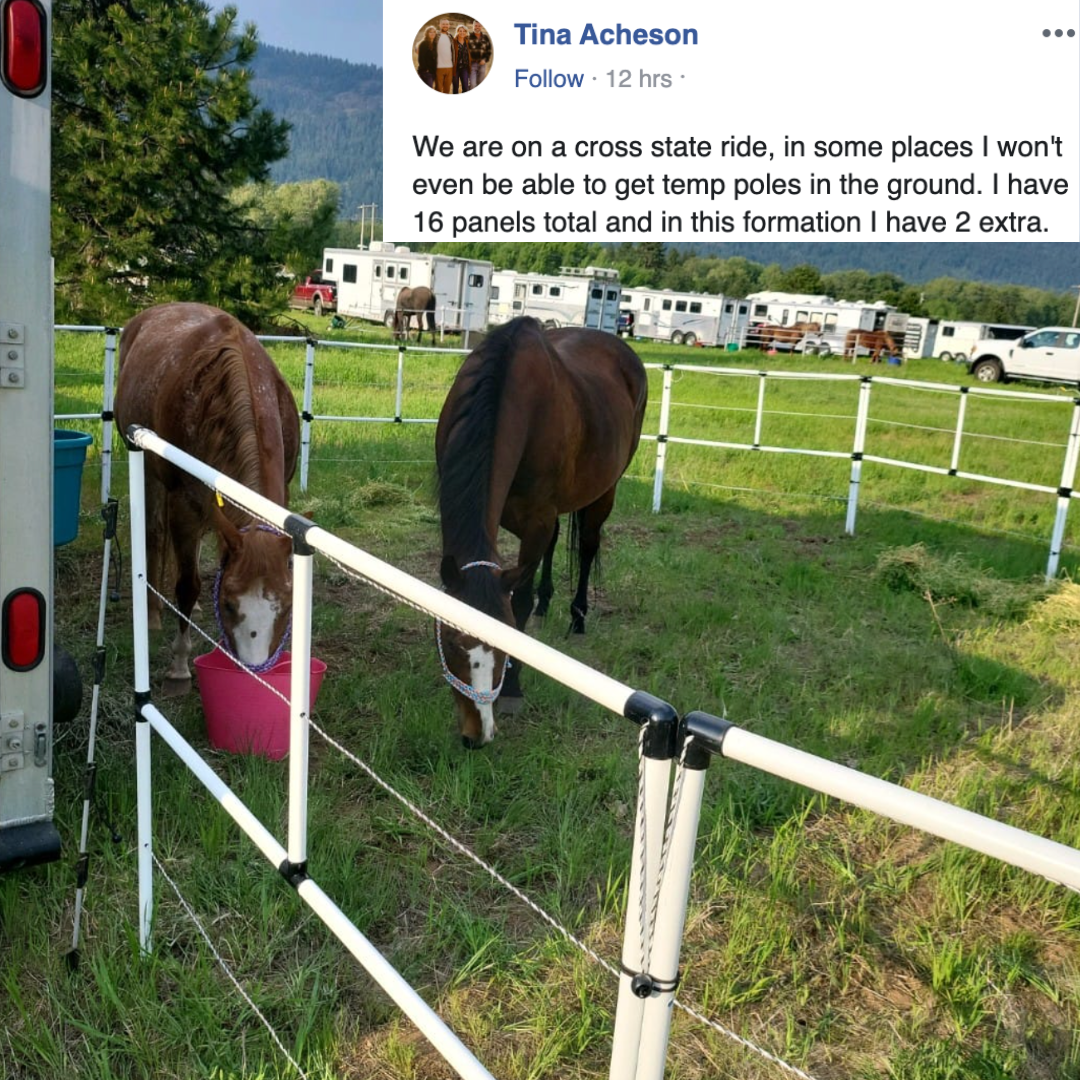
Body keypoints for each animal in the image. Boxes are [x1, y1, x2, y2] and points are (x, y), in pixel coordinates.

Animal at [115, 302, 300, 695]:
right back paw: (153, 613)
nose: (254, 669)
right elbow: (187, 584)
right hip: (148, 470)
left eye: (286, 606)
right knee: (153, 535)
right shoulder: (183, 503)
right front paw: (179, 667)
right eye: (229, 604)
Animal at [434, 316, 648, 749]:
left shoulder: (536, 520)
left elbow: (520, 602)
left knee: (587, 547)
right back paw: (549, 605)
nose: (477, 735)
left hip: (603, 494)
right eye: (451, 643)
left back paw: (577, 619)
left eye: (505, 645)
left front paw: (514, 688)